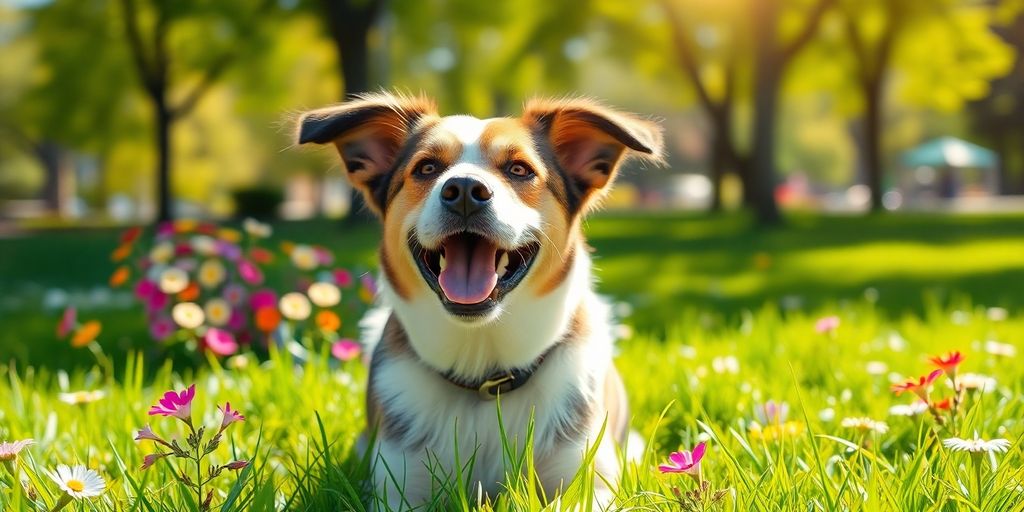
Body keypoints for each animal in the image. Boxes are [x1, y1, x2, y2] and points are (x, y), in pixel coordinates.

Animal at [296, 94, 663, 509]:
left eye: (519, 169)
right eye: (426, 167)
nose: (465, 188)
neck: (485, 374)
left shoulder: (588, 480)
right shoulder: (397, 484)